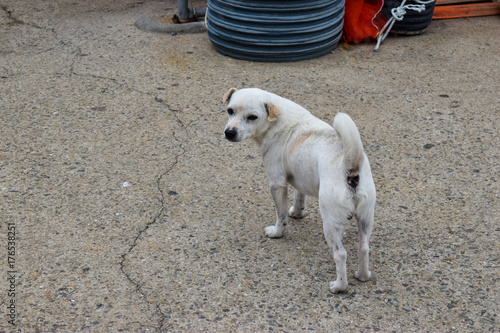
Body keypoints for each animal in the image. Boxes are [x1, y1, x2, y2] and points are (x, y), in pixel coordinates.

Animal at [223, 87, 376, 292]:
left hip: (331, 224)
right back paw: (362, 275)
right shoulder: (300, 179)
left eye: (252, 117)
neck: (277, 120)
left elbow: (280, 216)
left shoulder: (277, 183)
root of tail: (351, 166)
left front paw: (277, 232)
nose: (229, 132)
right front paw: (297, 213)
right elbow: (299, 197)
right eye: (230, 111)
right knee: (364, 247)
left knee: (340, 254)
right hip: (366, 218)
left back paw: (339, 286)